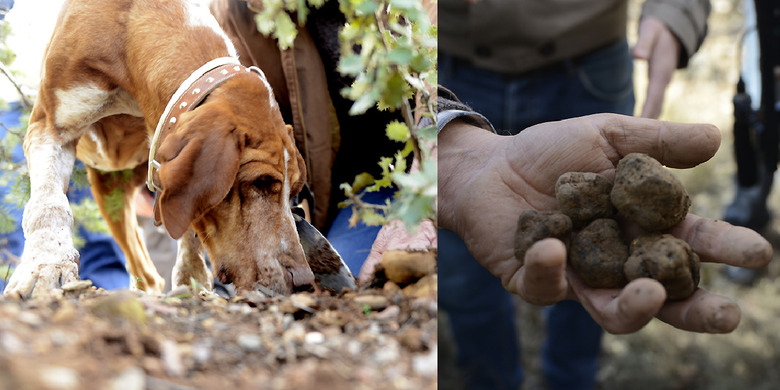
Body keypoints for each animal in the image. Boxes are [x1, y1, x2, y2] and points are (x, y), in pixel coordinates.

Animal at [3, 0, 314, 298]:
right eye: (260, 182)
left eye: (296, 193)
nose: (305, 281)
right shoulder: (49, 128)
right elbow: (49, 205)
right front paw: (47, 266)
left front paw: (192, 279)